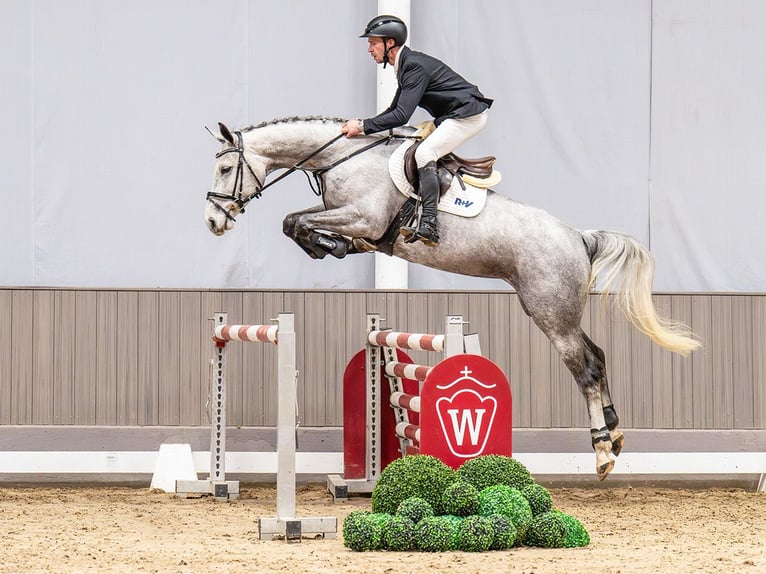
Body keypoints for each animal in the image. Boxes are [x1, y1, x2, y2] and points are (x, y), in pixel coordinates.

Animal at [204, 116, 701, 480]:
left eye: (226, 169)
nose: (213, 221)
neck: (340, 158)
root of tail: (578, 236)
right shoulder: (349, 217)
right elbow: (294, 222)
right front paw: (329, 245)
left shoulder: (362, 217)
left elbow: (296, 221)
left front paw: (330, 244)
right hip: (556, 310)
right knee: (596, 355)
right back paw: (614, 436)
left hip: (550, 313)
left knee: (586, 371)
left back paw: (601, 453)